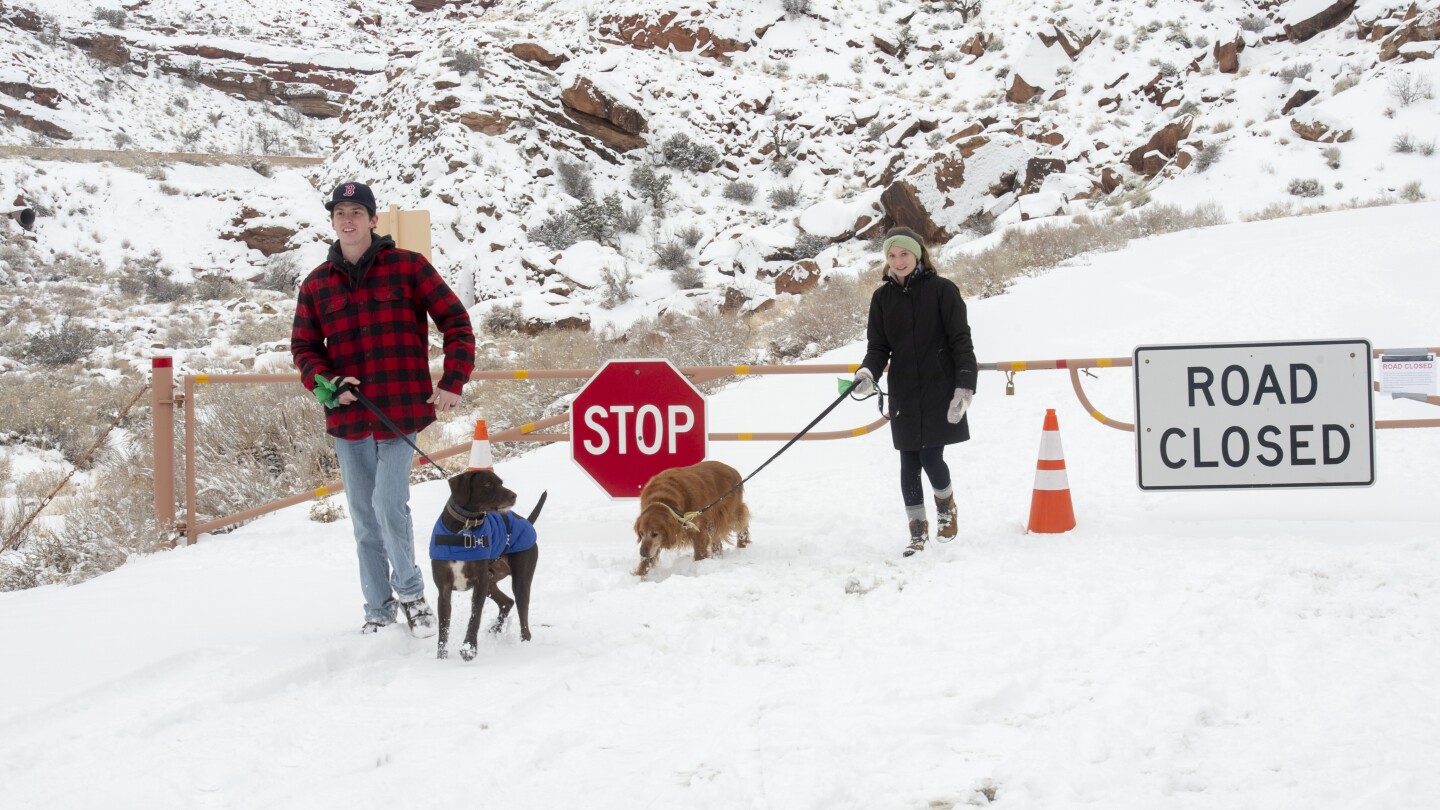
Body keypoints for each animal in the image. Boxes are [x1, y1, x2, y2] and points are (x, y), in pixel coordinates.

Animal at [429, 464, 541, 660]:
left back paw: (523, 645)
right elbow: (443, 627)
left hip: (519, 581)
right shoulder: (444, 589)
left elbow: (475, 617)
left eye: (501, 482)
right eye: (488, 484)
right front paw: (441, 658)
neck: (465, 527)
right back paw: (495, 629)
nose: (514, 495)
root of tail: (526, 522)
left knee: (523, 620)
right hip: (491, 581)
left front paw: (469, 648)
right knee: (507, 602)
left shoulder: (479, 583)